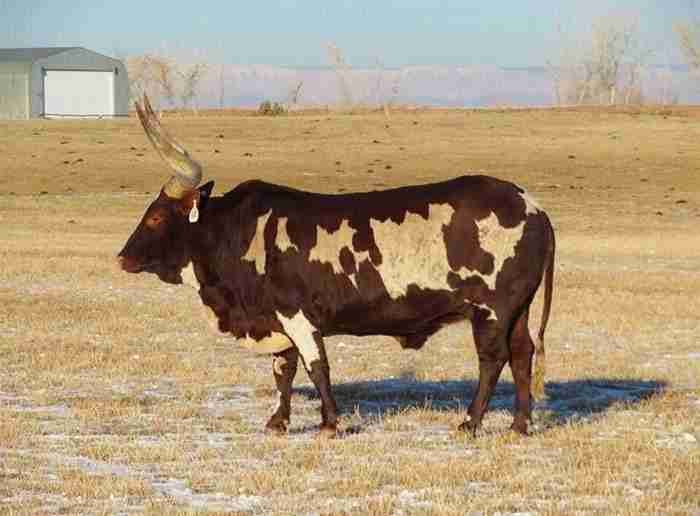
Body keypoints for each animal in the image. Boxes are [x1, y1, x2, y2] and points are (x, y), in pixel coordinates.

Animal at [118, 95, 555, 438]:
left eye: (156, 217)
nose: (122, 257)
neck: (239, 234)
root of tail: (533, 207)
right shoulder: (277, 321)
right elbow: (284, 370)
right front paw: (278, 421)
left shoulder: (297, 315)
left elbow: (316, 367)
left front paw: (329, 423)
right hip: (517, 310)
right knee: (522, 354)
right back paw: (519, 426)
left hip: (491, 310)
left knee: (493, 359)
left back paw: (470, 422)